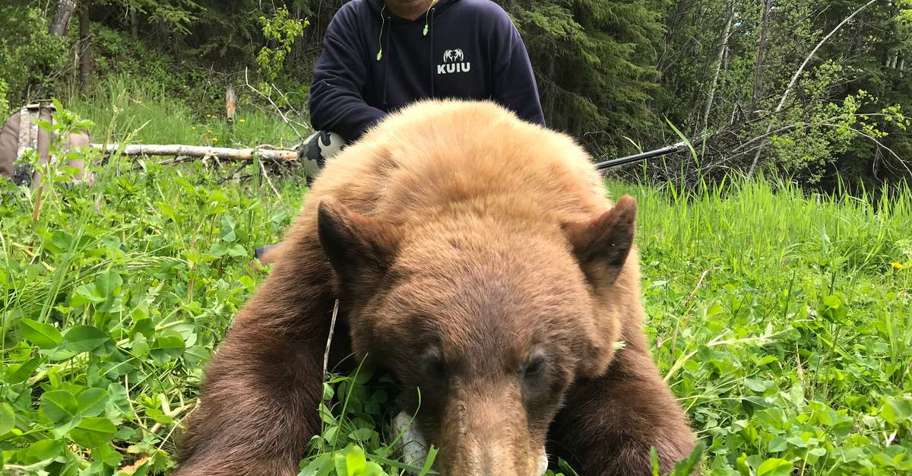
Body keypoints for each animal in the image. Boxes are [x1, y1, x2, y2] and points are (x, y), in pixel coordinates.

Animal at [175, 99, 696, 476]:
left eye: (536, 366)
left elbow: (636, 407)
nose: (486, 472)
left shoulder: (614, 307)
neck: (480, 182)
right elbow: (268, 353)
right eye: (433, 365)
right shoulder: (322, 266)